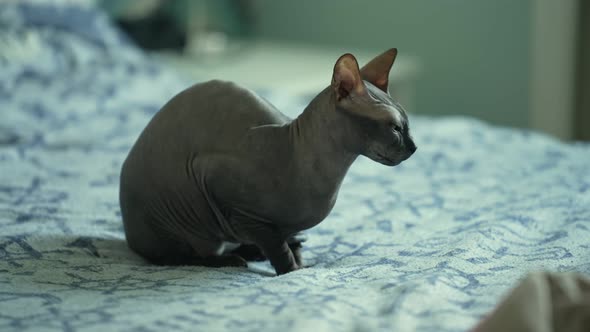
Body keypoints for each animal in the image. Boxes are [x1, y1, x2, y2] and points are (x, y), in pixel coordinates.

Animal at [119, 48, 416, 274]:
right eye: (394, 128)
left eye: (407, 124)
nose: (414, 148)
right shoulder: (222, 191)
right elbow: (277, 247)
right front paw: (293, 271)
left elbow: (288, 241)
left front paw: (297, 256)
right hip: (182, 216)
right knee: (178, 257)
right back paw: (229, 259)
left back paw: (253, 251)